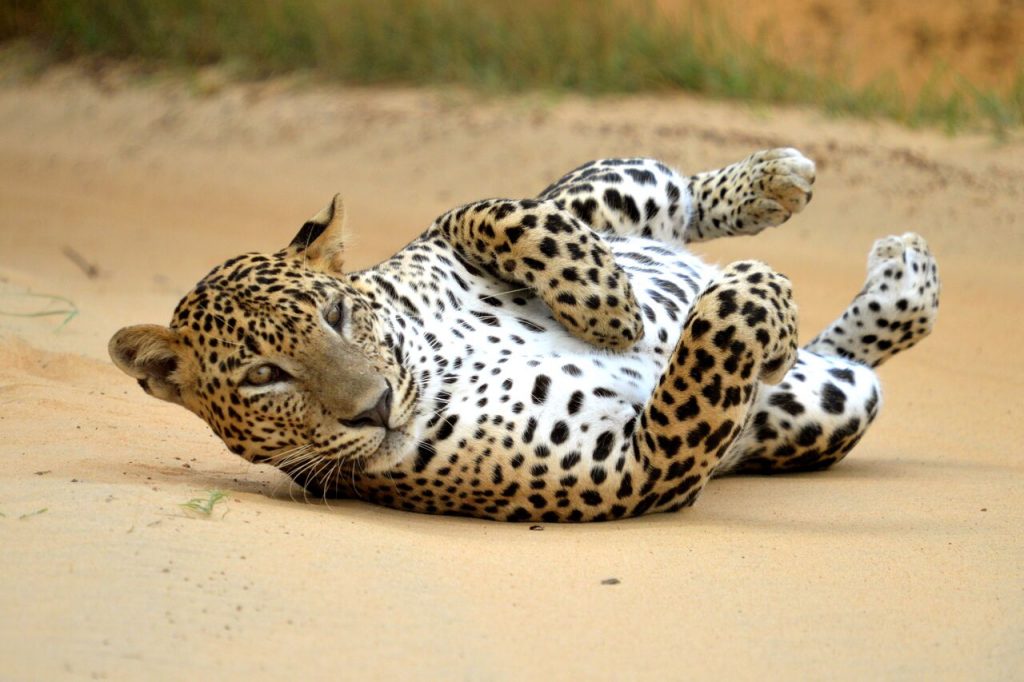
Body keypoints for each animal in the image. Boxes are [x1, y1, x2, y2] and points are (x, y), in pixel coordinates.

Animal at [108, 148, 937, 520]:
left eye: (336, 315)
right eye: (262, 378)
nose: (374, 407)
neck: (437, 362)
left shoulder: (444, 236)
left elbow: (487, 209)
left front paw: (613, 311)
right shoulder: (643, 469)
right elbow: (713, 344)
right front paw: (748, 293)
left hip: (613, 193)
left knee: (652, 194)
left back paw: (776, 183)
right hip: (826, 405)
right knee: (837, 357)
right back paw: (897, 282)